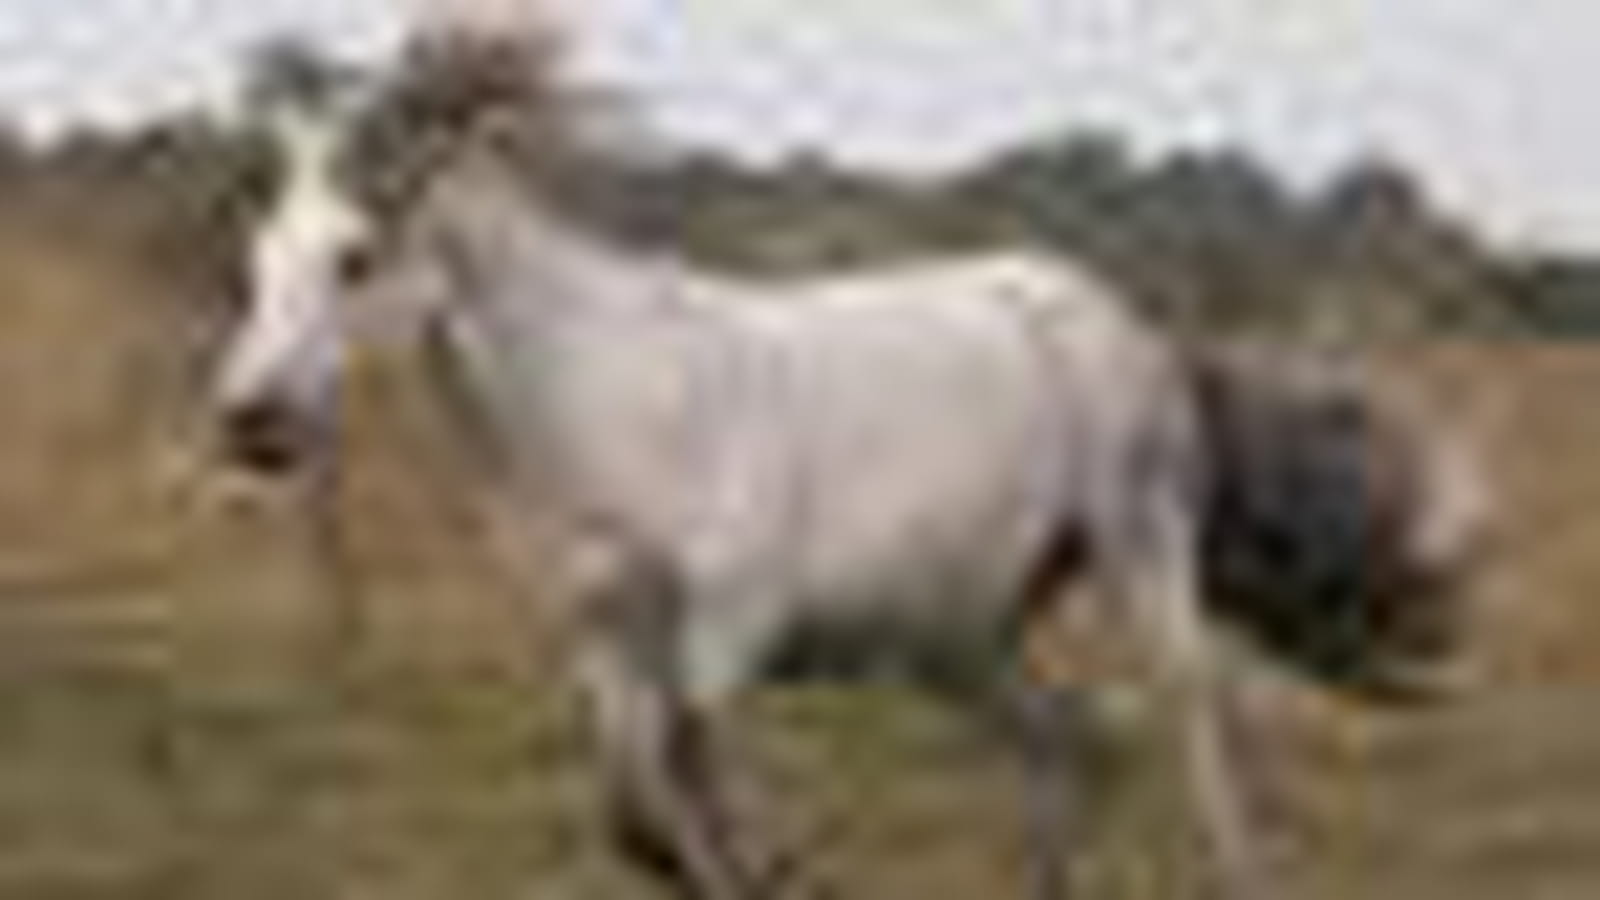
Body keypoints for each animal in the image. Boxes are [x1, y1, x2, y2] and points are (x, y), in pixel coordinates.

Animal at [206, 35, 1265, 900]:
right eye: (258, 256)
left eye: (355, 256)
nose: (248, 424)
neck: (607, 403)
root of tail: (1112, 316)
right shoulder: (603, 641)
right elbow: (640, 826)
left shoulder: (729, 628)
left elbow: (696, 779)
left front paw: (780, 865)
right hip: (955, 638)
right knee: (1076, 751)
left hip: (1138, 552)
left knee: (1190, 731)